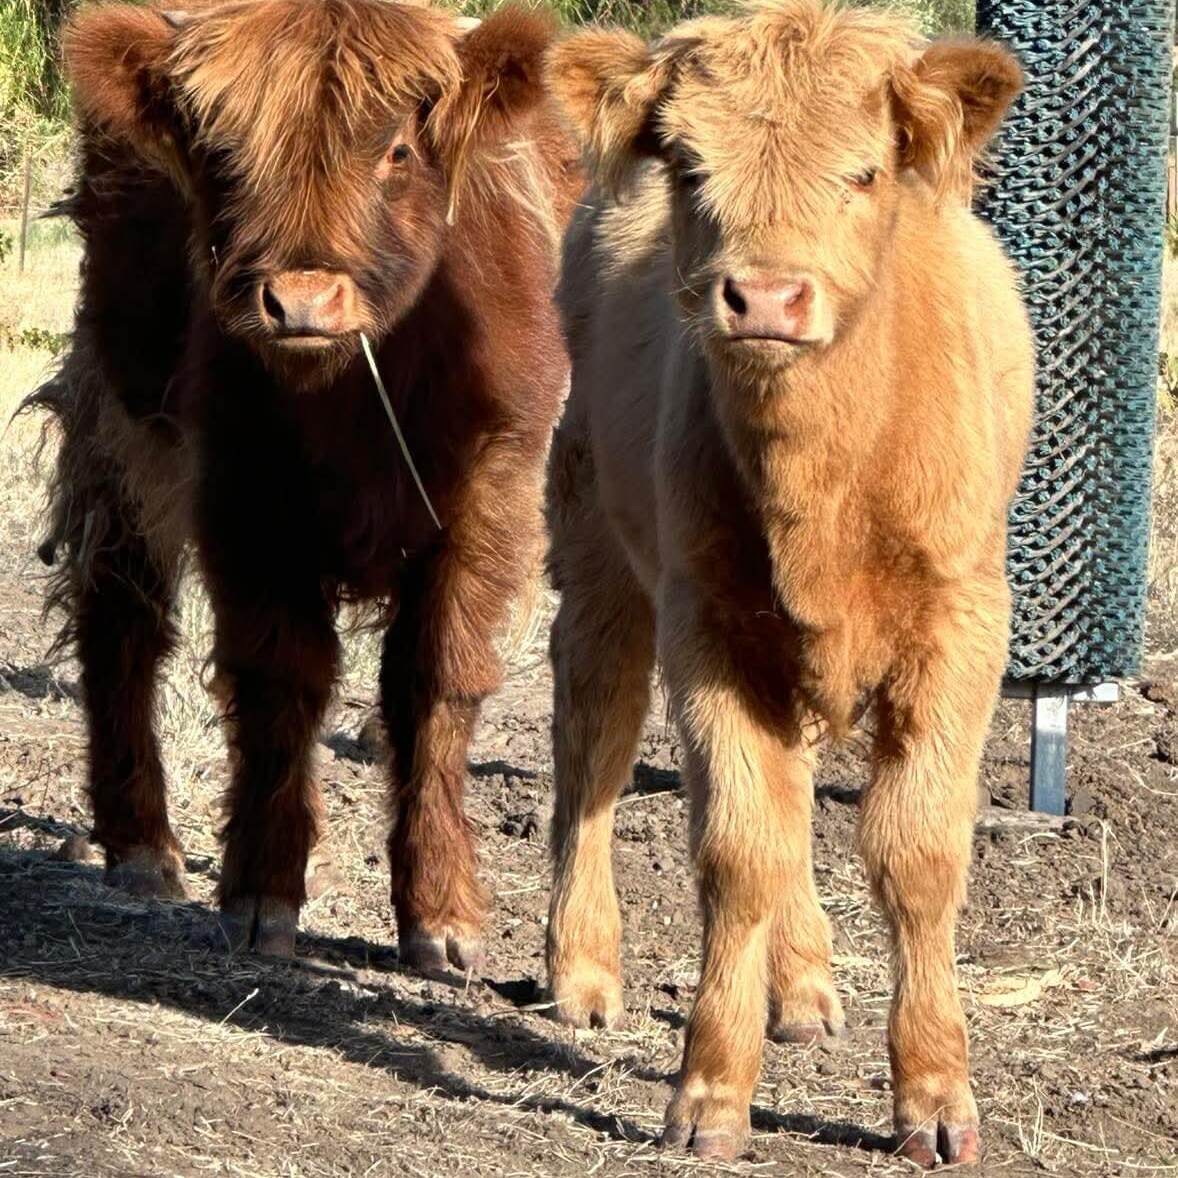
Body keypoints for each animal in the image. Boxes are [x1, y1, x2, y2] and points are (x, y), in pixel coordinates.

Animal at [32, 0, 579, 973]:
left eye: (396, 149)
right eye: (224, 152)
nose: (302, 302)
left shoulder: (494, 486)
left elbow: (436, 678)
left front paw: (440, 915)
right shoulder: (240, 488)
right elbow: (279, 678)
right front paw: (263, 895)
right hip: (119, 410)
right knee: (121, 610)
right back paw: (141, 848)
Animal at [542, 0, 1032, 1166]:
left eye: (864, 171)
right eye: (684, 164)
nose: (763, 295)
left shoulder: (960, 627)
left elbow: (914, 851)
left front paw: (935, 1099)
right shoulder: (707, 629)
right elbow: (737, 849)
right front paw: (710, 1094)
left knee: (796, 781)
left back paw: (802, 984)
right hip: (599, 554)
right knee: (593, 739)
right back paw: (582, 967)